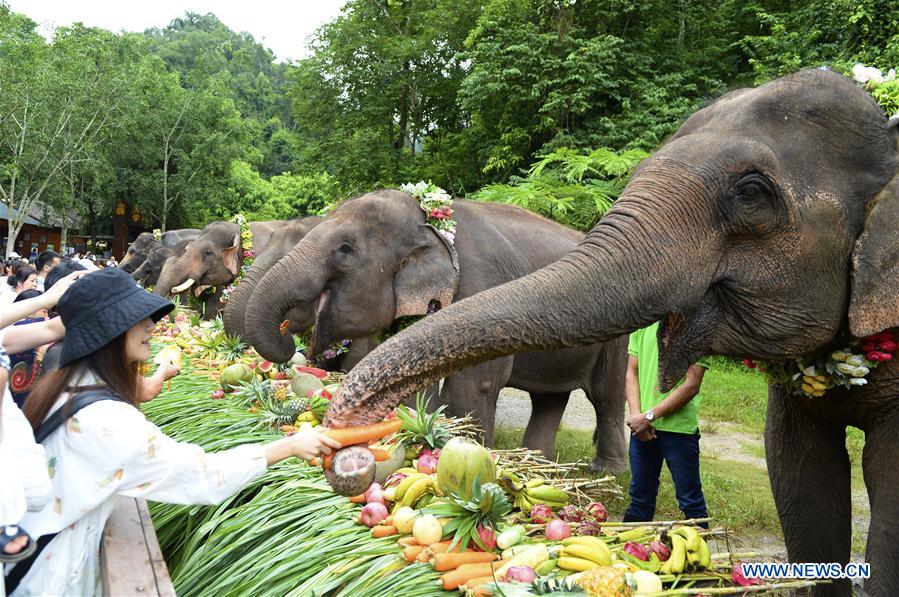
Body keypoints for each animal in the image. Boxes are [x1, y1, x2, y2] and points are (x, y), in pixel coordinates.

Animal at [244, 191, 628, 470]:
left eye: (345, 249)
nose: (289, 337)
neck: (428, 222)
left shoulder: (480, 288)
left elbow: (474, 383)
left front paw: (469, 451)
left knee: (606, 395)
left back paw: (605, 471)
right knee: (549, 397)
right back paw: (538, 464)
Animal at [322, 69, 899, 595]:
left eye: (751, 192)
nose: (345, 437)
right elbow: (799, 473)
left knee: (601, 394)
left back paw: (593, 468)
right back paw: (542, 466)